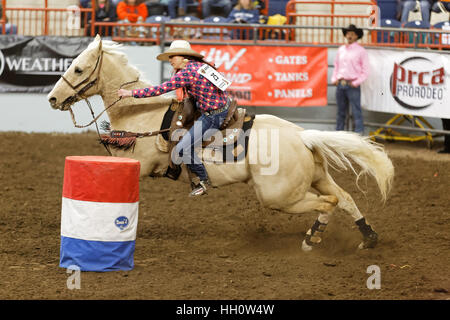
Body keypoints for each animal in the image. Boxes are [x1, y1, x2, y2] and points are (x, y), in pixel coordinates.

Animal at [48, 35, 394, 250]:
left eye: (78, 68)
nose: (52, 99)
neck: (141, 113)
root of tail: (302, 135)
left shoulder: (138, 163)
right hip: (316, 177)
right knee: (344, 198)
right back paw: (369, 237)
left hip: (280, 196)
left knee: (329, 203)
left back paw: (312, 239)